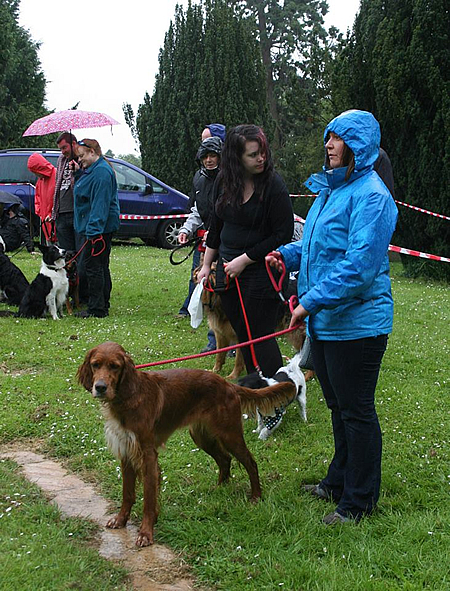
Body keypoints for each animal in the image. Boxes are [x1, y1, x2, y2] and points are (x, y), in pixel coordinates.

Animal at [77, 342, 296, 552]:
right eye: (95, 364)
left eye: (114, 366)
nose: (100, 387)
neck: (126, 398)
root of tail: (228, 384)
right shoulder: (126, 452)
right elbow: (128, 493)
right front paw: (121, 520)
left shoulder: (147, 455)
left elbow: (148, 499)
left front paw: (146, 533)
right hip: (201, 436)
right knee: (225, 459)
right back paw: (220, 487)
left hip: (229, 434)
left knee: (250, 462)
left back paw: (256, 497)